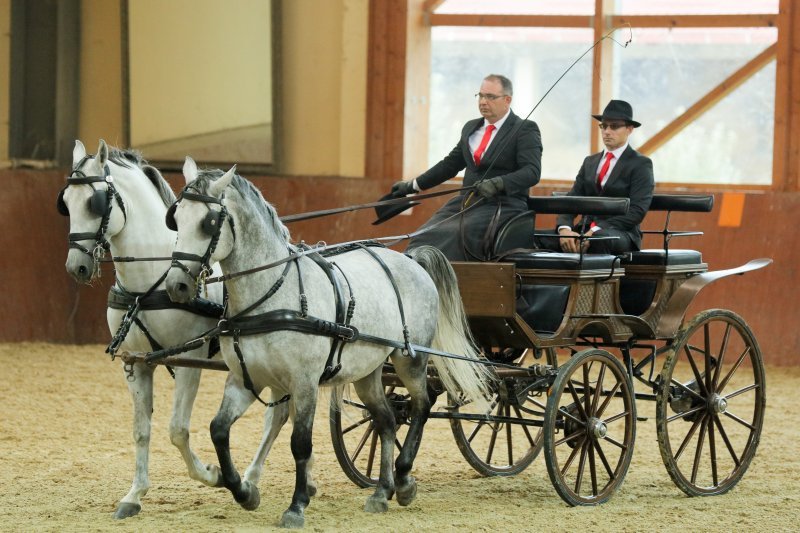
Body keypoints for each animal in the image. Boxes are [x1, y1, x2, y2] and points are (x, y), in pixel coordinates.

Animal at [59, 139, 296, 516]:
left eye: (94, 202)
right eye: (65, 202)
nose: (76, 267)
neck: (147, 287)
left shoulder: (190, 361)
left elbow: (177, 430)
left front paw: (214, 475)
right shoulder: (135, 363)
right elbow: (141, 430)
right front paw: (134, 495)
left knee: (277, 417)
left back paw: (250, 479)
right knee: (278, 414)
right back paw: (251, 478)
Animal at [165, 159, 494, 528]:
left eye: (208, 223)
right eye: (176, 218)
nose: (176, 285)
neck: (274, 294)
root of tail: (410, 259)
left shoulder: (304, 383)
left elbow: (300, 443)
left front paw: (296, 506)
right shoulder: (245, 380)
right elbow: (219, 430)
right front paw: (244, 491)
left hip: (410, 359)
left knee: (421, 406)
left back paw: (404, 479)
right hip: (368, 371)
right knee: (386, 419)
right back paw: (381, 491)